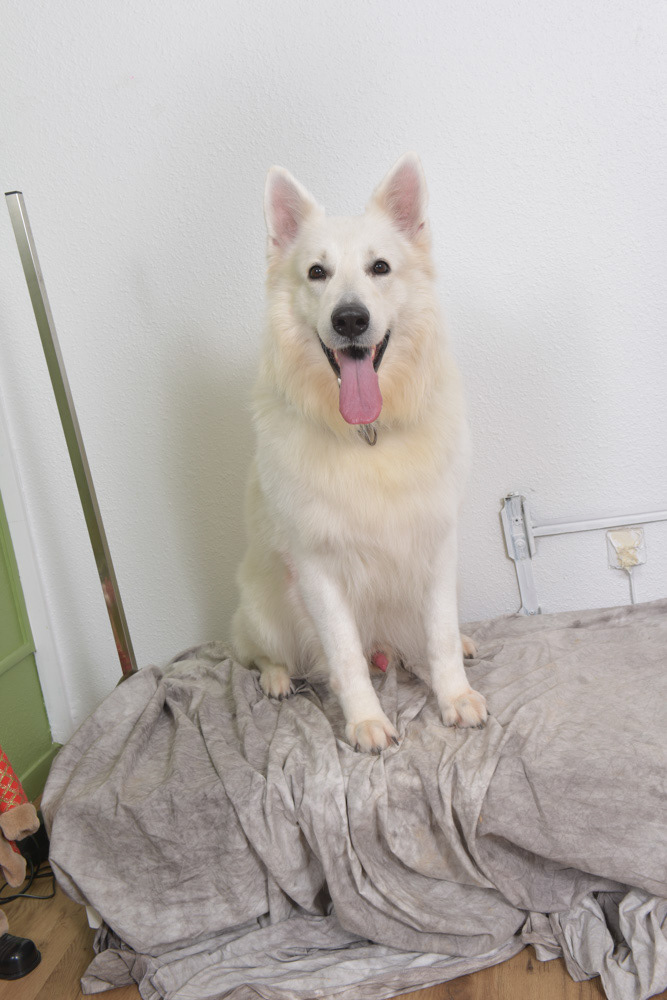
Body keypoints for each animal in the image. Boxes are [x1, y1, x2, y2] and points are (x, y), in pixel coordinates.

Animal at [232, 153, 487, 753]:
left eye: (380, 268)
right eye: (316, 273)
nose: (350, 319)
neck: (367, 434)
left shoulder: (435, 543)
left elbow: (440, 634)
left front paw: (454, 695)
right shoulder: (317, 567)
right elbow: (345, 657)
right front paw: (366, 721)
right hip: (262, 607)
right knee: (254, 653)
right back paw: (277, 677)